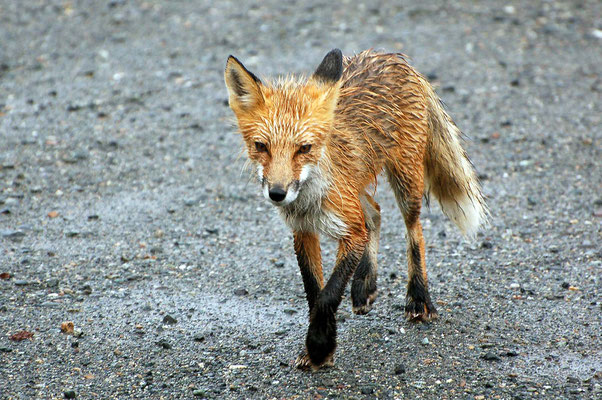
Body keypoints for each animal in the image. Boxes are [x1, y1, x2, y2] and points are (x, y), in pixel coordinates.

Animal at [223, 48, 486, 370]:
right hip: (359, 186)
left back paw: (418, 297)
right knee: (375, 213)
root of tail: (389, 56)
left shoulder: (350, 231)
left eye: (304, 148)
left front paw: (319, 345)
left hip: (406, 182)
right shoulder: (304, 231)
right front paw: (319, 345)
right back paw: (364, 285)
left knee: (415, 230)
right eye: (261, 146)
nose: (277, 193)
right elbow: (314, 292)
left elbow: (328, 294)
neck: (310, 199)